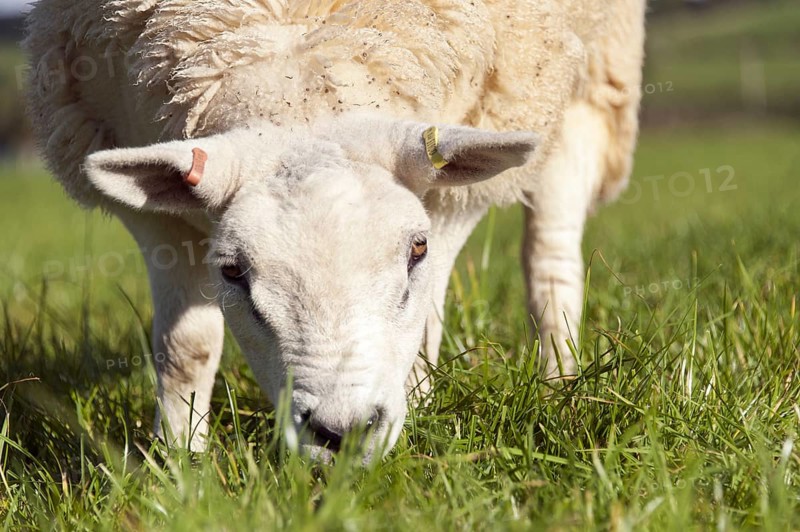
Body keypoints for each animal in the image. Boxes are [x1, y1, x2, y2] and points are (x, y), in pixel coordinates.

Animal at [25, 0, 646, 460]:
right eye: (232, 272)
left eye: (416, 250)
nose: (342, 431)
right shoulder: (149, 201)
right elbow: (187, 348)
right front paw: (179, 461)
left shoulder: (459, 171)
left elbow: (424, 320)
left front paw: (415, 417)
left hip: (584, 81)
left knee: (550, 258)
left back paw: (561, 384)